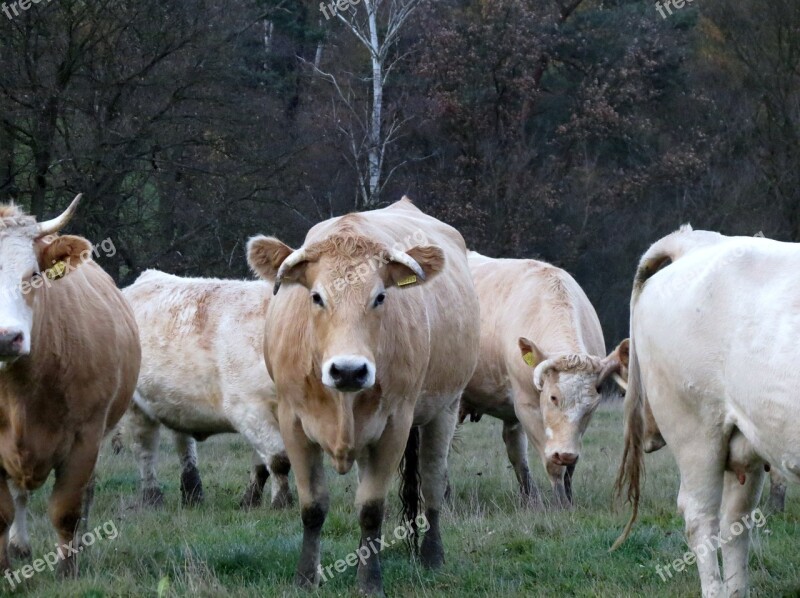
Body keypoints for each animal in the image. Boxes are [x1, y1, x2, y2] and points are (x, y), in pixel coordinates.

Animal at [0, 198, 139, 580]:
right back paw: (19, 545)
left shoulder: (85, 437)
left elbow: (66, 510)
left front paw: (67, 570)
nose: (6, 337)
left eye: (33, 275)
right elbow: (2, 512)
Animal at [122, 272, 290, 510]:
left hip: (178, 401)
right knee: (145, 450)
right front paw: (282, 503)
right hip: (136, 406)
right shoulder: (248, 408)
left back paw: (193, 494)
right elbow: (278, 459)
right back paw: (152, 498)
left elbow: (262, 465)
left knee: (184, 444)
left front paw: (249, 502)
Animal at [247, 199, 478, 596]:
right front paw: (305, 578)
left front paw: (369, 582)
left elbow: (371, 508)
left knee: (433, 485)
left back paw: (432, 557)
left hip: (444, 409)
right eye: (316, 297)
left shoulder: (395, 425)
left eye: (380, 296)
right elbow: (313, 507)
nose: (349, 370)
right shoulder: (292, 422)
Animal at [462, 251, 624, 508]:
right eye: (553, 397)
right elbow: (553, 464)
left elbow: (568, 467)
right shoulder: (526, 406)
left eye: (591, 406)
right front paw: (560, 504)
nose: (565, 454)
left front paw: (568, 500)